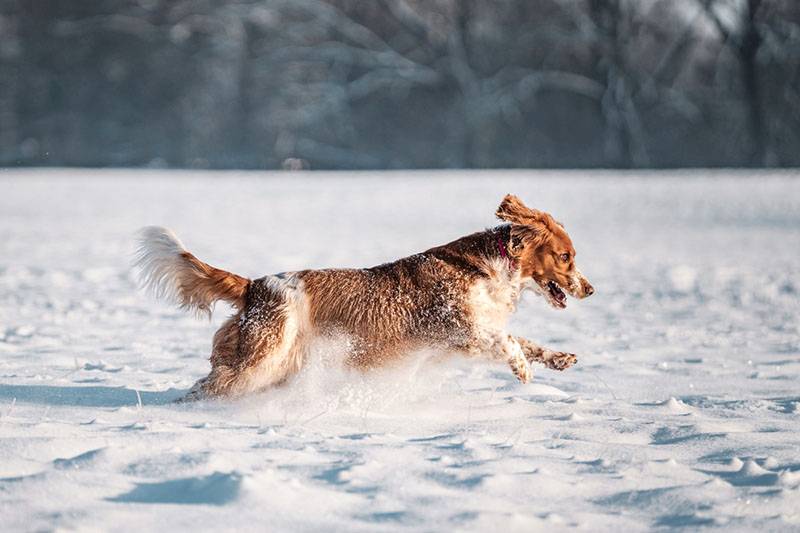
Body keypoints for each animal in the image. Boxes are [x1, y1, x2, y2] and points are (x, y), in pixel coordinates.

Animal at [134, 194, 592, 400]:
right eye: (565, 256)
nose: (590, 289)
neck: (489, 267)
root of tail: (255, 286)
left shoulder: (478, 327)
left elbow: (526, 340)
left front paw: (559, 358)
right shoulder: (460, 328)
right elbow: (509, 342)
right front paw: (523, 370)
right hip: (264, 356)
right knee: (211, 384)